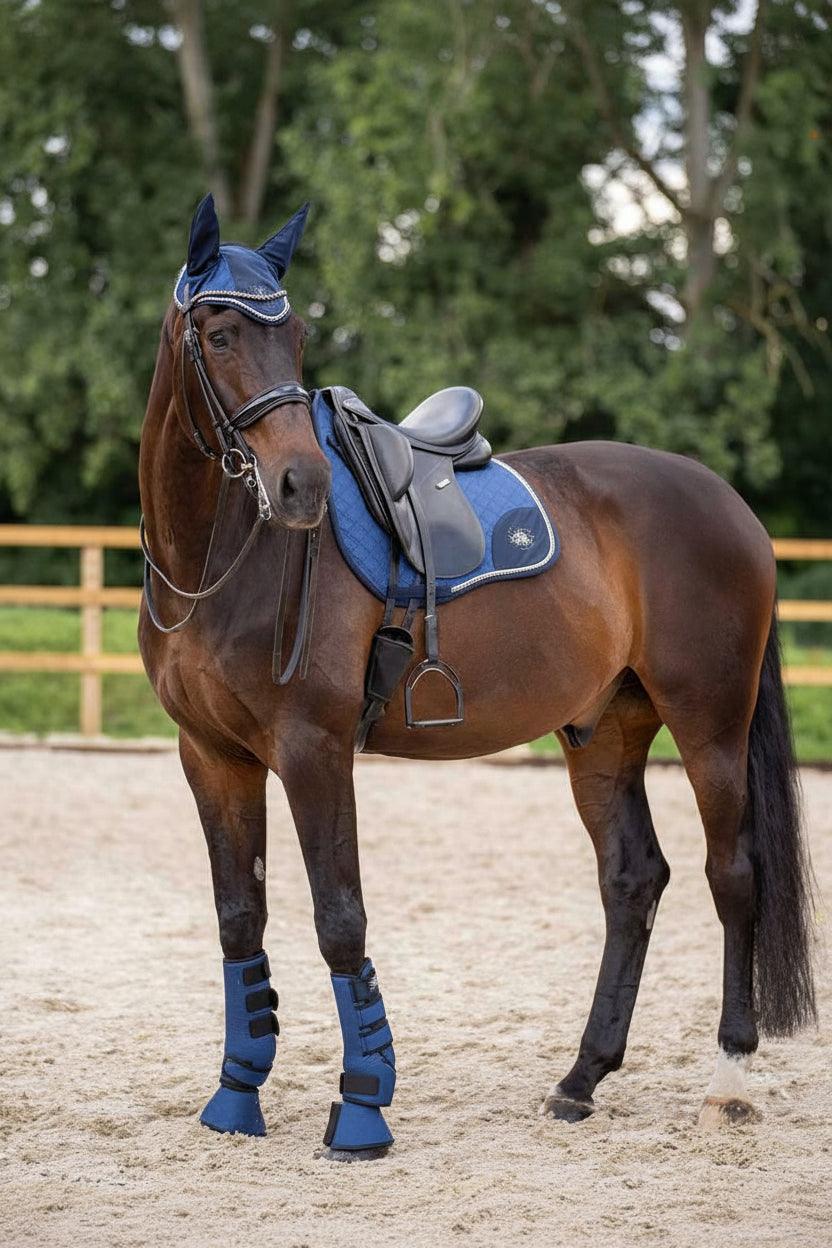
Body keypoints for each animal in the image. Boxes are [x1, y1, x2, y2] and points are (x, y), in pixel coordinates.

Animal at [138, 194, 816, 1154]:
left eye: (296, 335)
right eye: (223, 333)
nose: (301, 484)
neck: (221, 559)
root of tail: (728, 503)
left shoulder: (313, 749)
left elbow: (340, 919)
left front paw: (363, 1107)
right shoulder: (211, 756)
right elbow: (241, 922)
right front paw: (236, 1097)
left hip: (710, 724)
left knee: (734, 876)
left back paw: (727, 1080)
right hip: (604, 732)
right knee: (633, 880)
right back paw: (581, 1079)